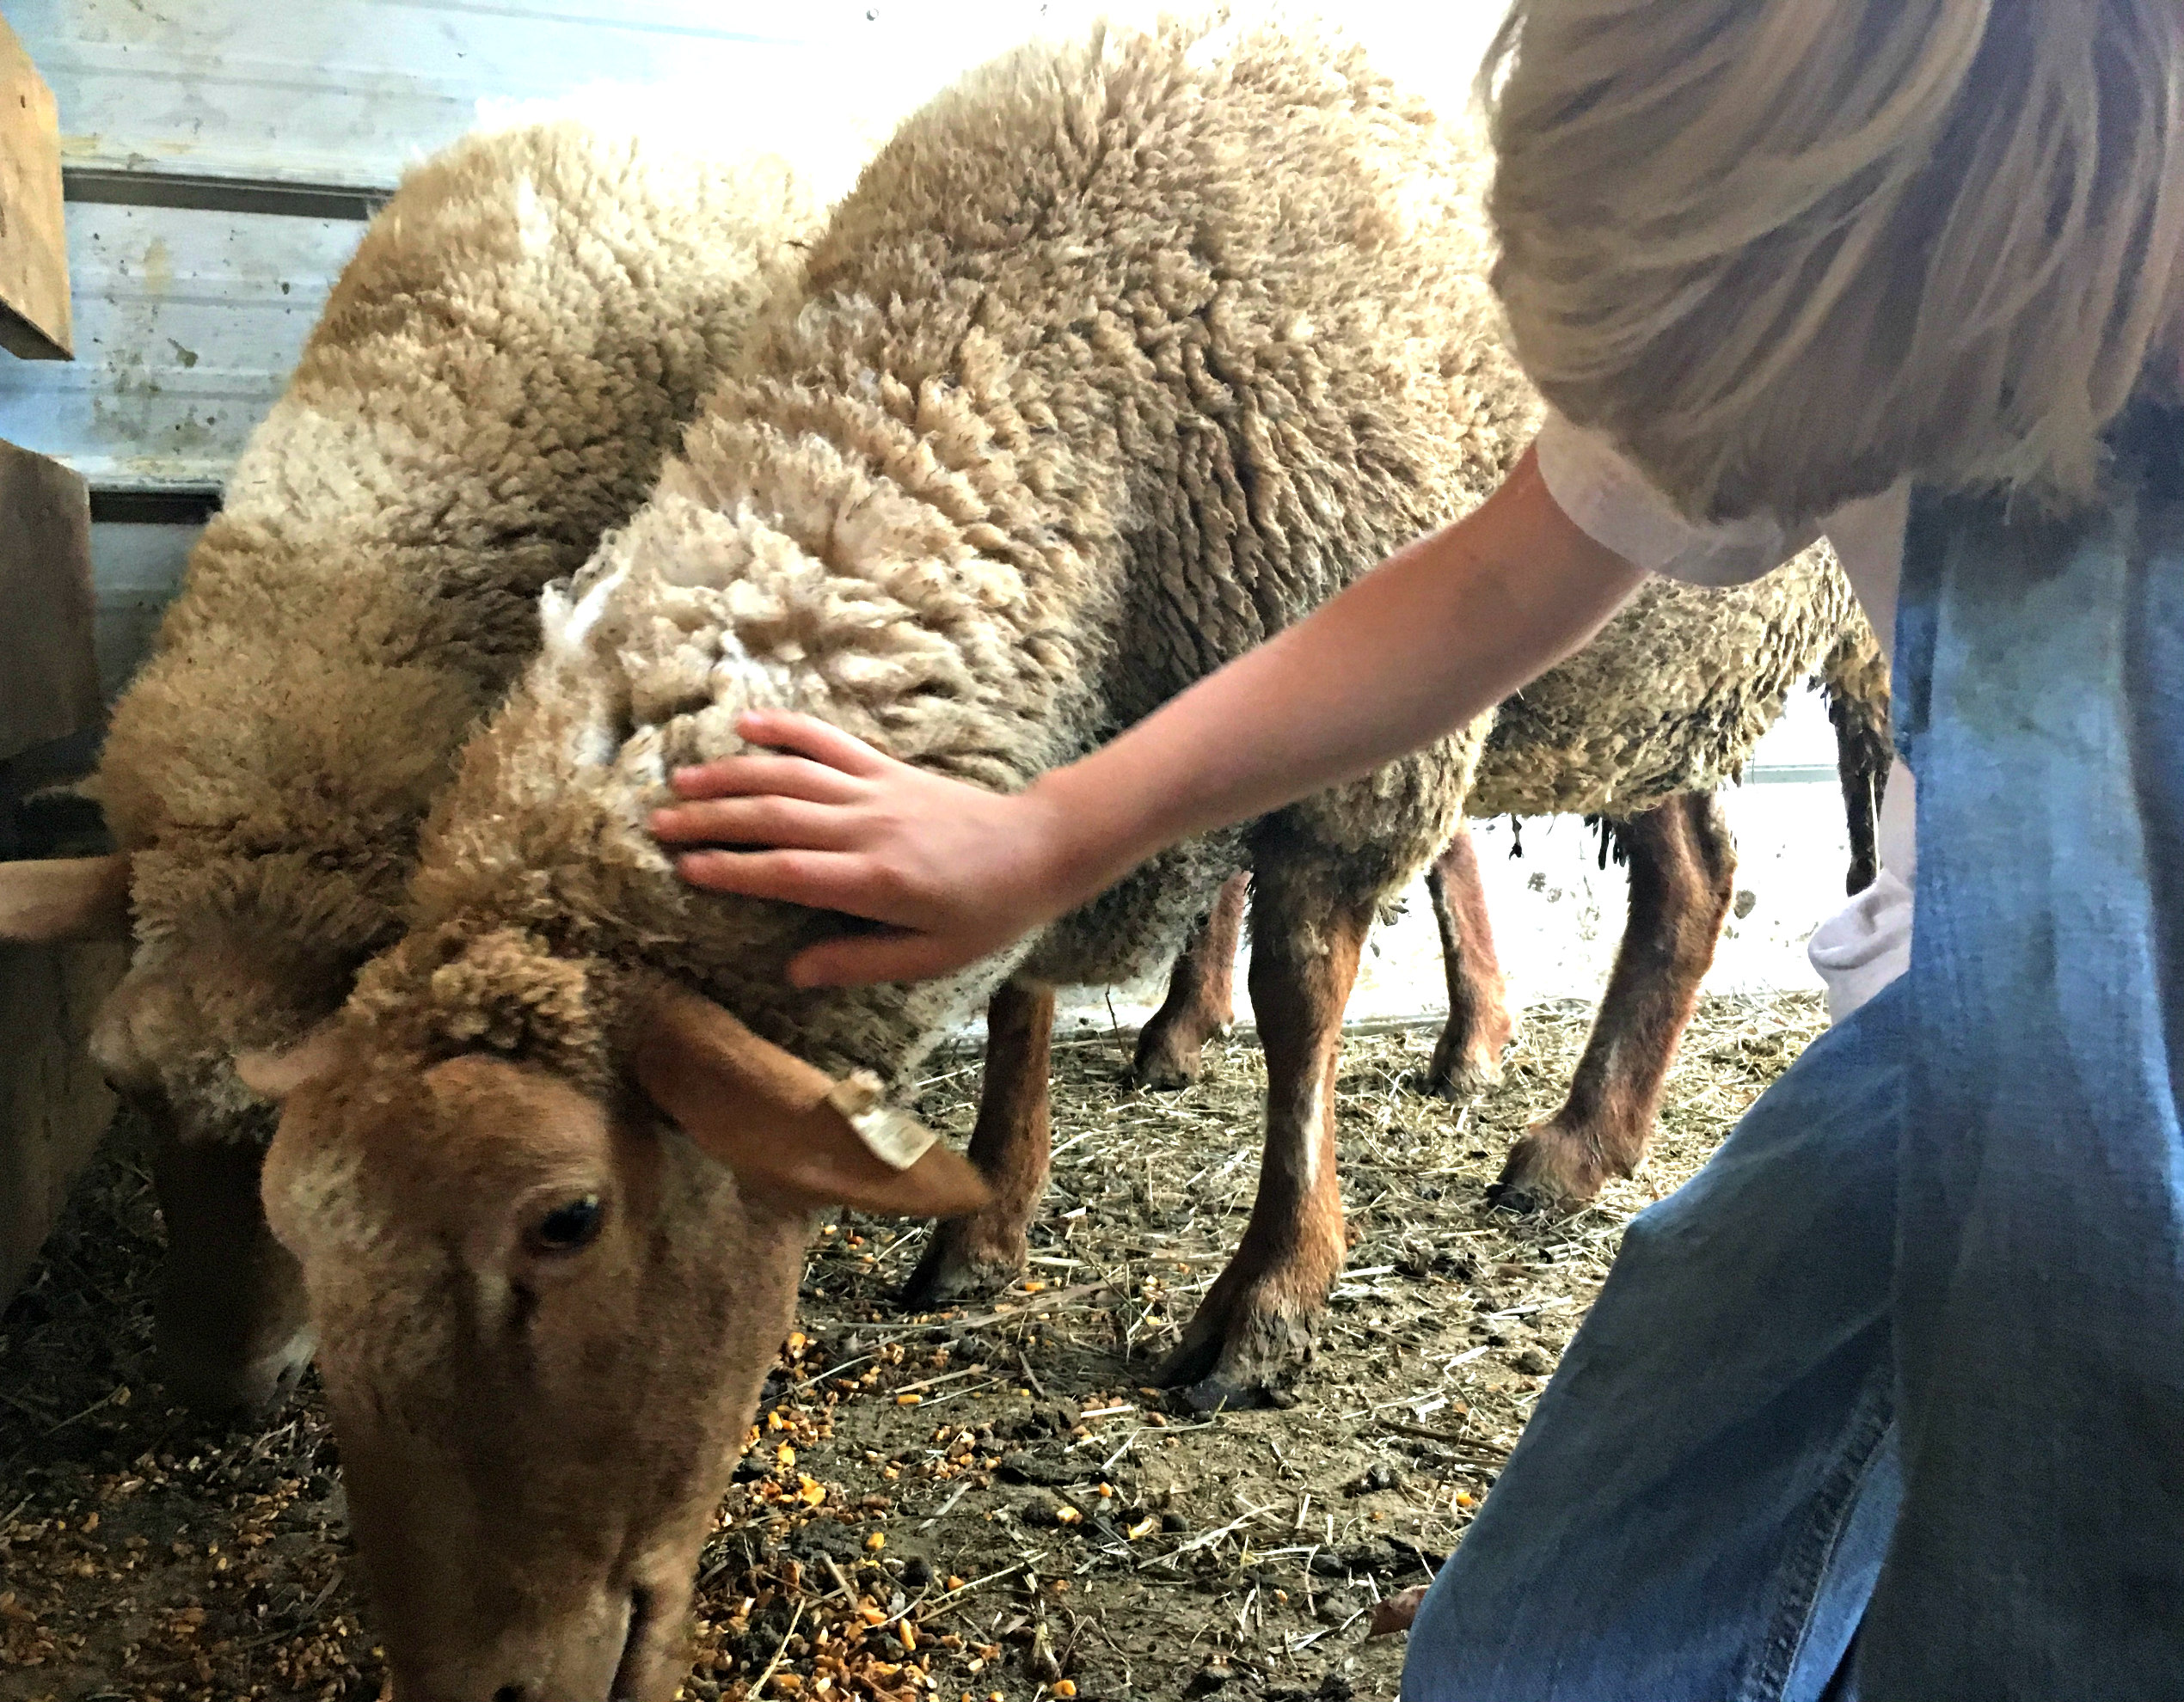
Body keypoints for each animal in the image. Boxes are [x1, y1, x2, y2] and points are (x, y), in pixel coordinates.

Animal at [241, 21, 1537, 1693]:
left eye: (565, 1221)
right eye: (297, 1232)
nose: (483, 1688)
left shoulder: (1357, 763)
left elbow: (1306, 1002)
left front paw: (1267, 1302)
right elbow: (1021, 992)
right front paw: (985, 1222)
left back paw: (1558, 1127)